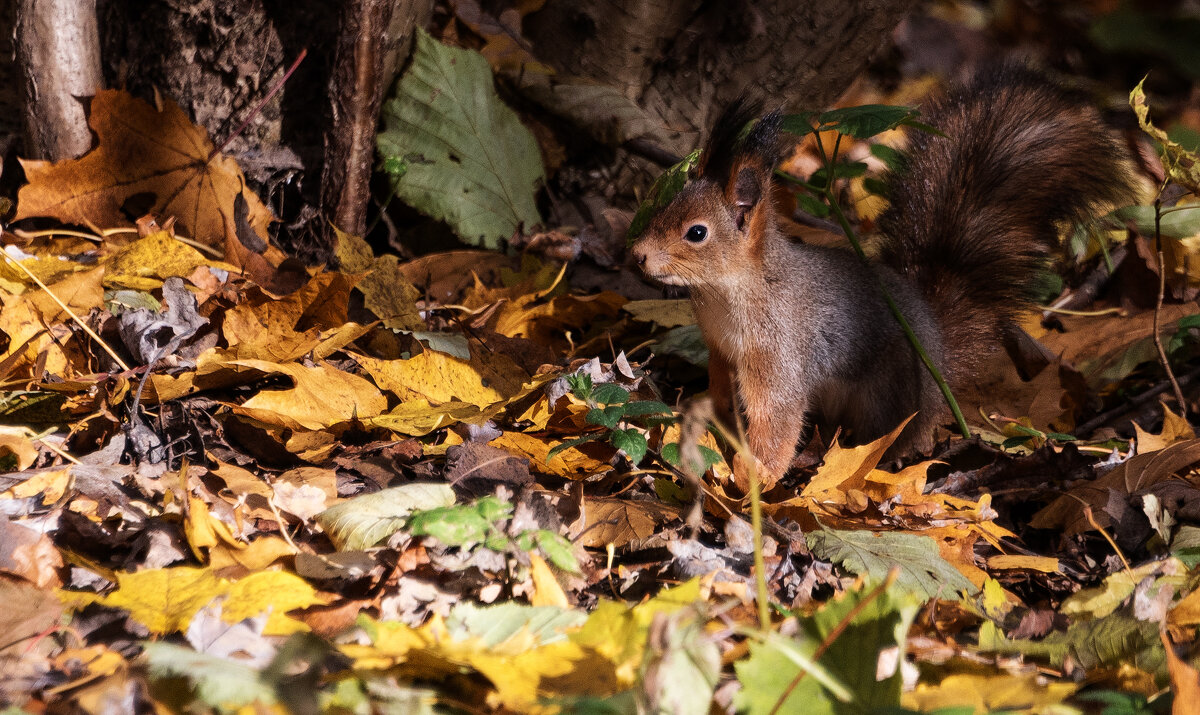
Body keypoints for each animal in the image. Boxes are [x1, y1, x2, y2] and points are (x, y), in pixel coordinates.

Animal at [628, 67, 1132, 489]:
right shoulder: (720, 351)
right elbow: (719, 394)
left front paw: (756, 475)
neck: (728, 293)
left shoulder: (778, 356)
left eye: (696, 233)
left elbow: (778, 421)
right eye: (666, 204)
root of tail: (936, 351)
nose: (637, 255)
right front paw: (709, 425)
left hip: (885, 397)